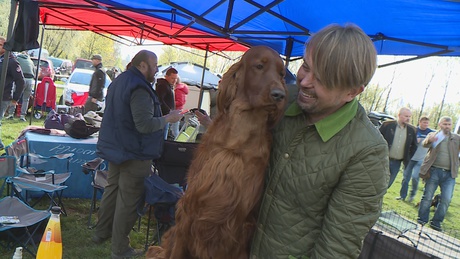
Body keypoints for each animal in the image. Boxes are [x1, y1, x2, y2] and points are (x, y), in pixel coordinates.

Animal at [146, 45, 286, 258]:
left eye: (281, 73)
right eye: (259, 66)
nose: (280, 95)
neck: (237, 138)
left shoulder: (234, 226)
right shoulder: (188, 209)